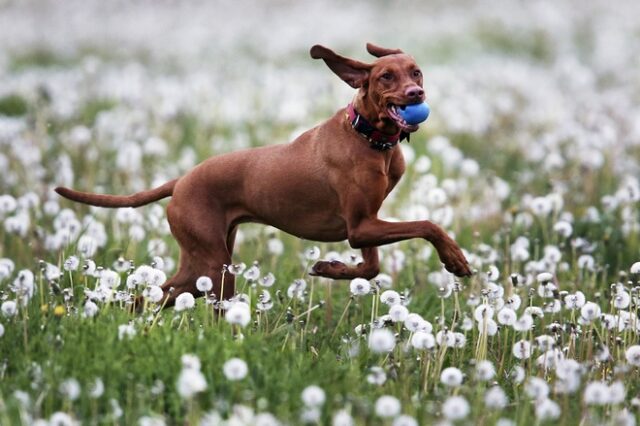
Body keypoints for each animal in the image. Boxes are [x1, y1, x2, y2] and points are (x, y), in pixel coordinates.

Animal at [55, 43, 472, 308]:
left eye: (416, 72)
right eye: (386, 76)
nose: (416, 93)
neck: (369, 138)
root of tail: (181, 180)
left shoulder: (366, 222)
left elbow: (371, 268)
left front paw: (331, 268)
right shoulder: (360, 226)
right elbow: (428, 224)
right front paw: (455, 259)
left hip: (200, 263)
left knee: (154, 297)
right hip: (215, 268)